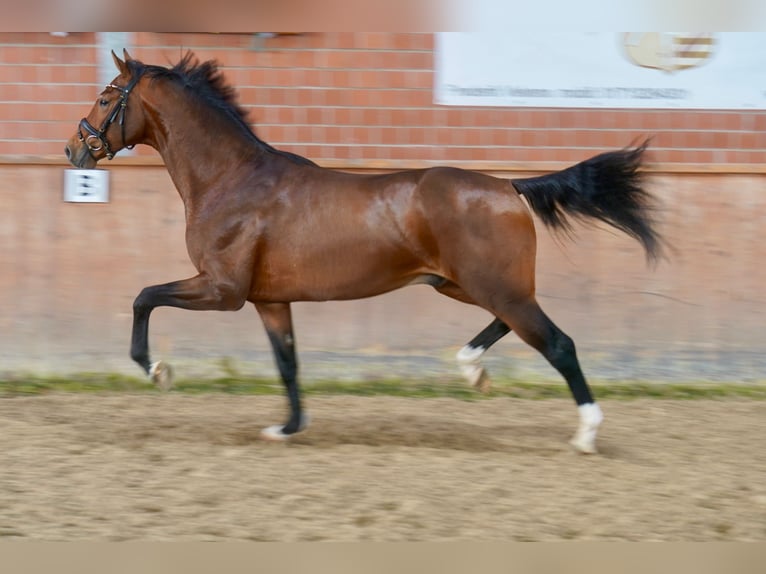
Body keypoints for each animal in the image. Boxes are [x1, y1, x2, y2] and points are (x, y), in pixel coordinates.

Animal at [67, 50, 664, 454]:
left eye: (106, 95)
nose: (75, 148)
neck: (230, 180)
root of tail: (508, 186)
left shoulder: (222, 289)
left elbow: (144, 297)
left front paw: (158, 371)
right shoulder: (269, 300)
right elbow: (288, 363)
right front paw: (287, 428)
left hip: (491, 285)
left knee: (557, 342)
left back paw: (585, 434)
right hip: (465, 284)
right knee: (514, 325)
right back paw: (472, 371)